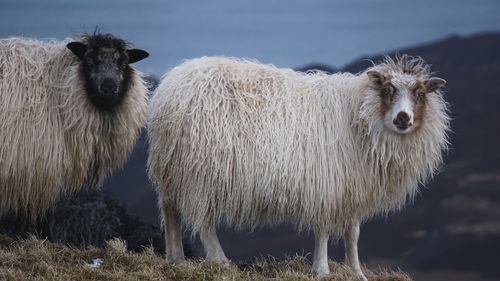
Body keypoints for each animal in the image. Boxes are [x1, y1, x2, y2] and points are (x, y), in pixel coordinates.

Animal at [147, 54, 450, 278]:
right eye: (388, 90)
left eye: (420, 94)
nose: (403, 118)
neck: (358, 113)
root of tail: (170, 86)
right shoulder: (327, 184)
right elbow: (324, 231)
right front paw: (322, 270)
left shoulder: (351, 187)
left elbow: (353, 234)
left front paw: (357, 272)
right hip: (202, 170)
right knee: (204, 222)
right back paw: (220, 261)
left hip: (172, 168)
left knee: (170, 211)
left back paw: (175, 259)